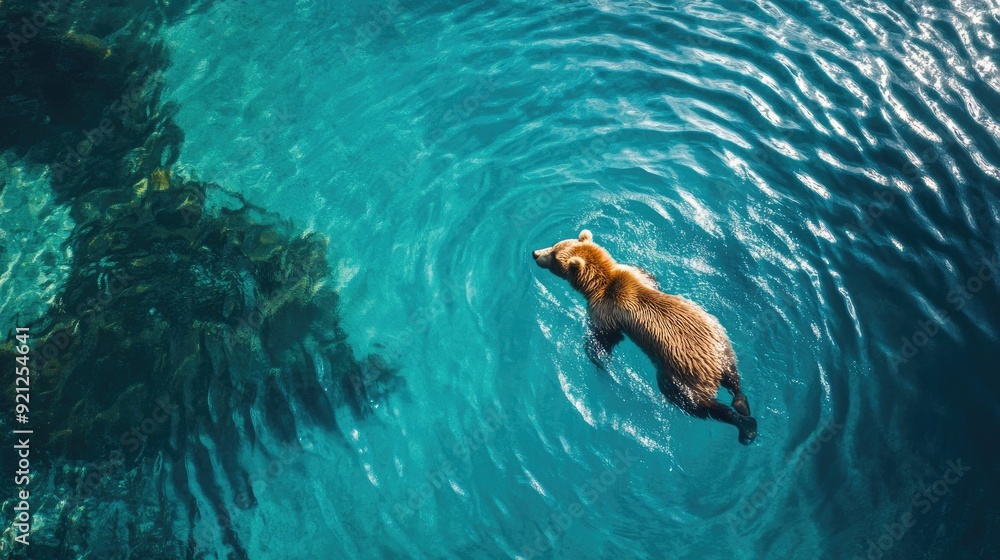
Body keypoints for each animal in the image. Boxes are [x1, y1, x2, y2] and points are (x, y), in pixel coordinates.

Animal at [532, 230, 757, 444]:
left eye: (553, 255)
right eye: (554, 246)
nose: (535, 253)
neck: (602, 283)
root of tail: (713, 369)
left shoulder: (605, 313)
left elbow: (602, 338)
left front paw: (597, 359)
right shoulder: (635, 275)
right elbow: (647, 275)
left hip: (680, 374)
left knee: (699, 404)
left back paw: (745, 425)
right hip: (721, 343)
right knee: (733, 377)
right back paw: (742, 404)